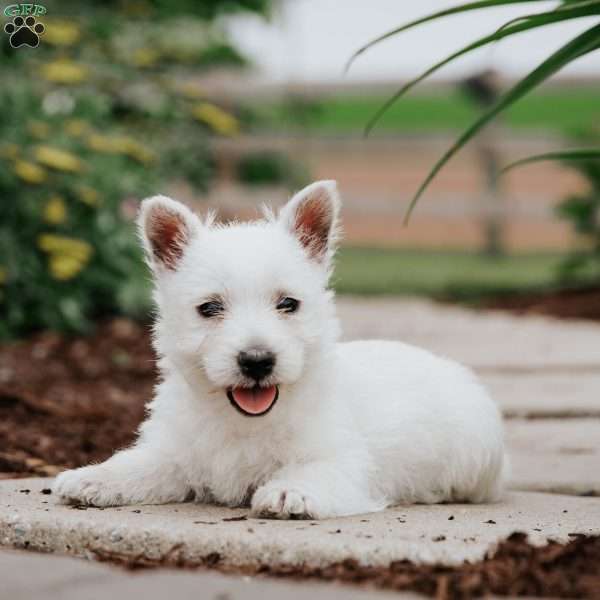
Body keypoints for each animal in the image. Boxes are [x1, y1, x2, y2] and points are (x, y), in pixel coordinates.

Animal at [55, 180, 506, 516]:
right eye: (209, 308)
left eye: (288, 304)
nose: (257, 361)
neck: (245, 424)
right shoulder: (176, 453)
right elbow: (141, 463)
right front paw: (93, 477)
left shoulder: (343, 459)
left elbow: (317, 470)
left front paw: (291, 491)